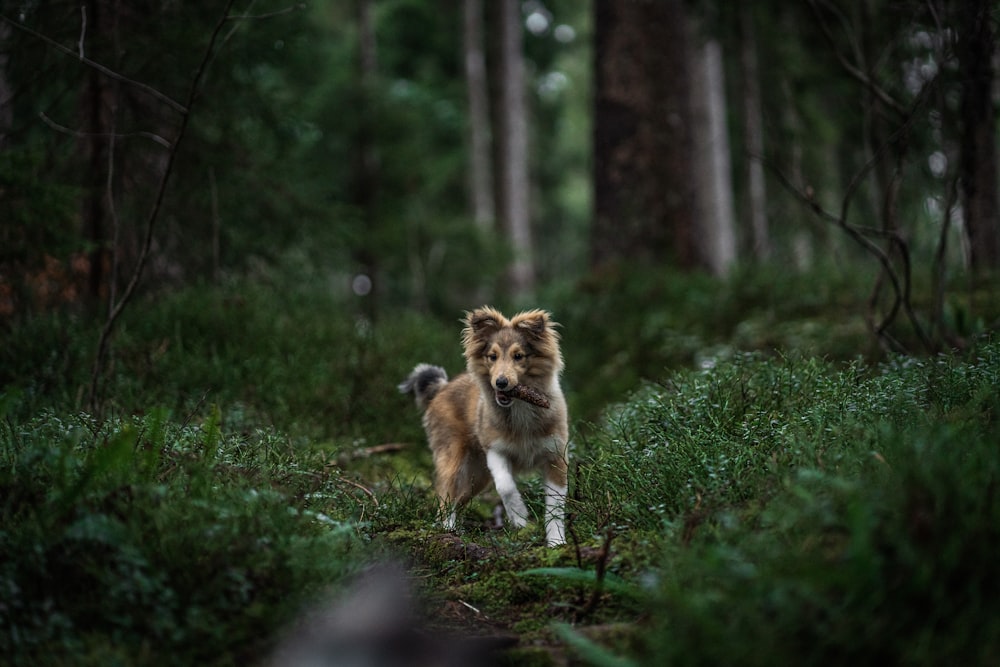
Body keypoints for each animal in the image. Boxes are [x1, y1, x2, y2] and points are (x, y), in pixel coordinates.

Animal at [398, 308, 572, 548]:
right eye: (493, 356)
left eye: (519, 356)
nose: (500, 383)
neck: (520, 407)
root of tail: (442, 387)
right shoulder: (495, 449)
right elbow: (506, 486)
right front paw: (519, 516)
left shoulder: (556, 456)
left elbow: (555, 506)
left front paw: (557, 543)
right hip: (453, 458)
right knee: (446, 495)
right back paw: (448, 529)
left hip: (477, 477)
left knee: (460, 497)